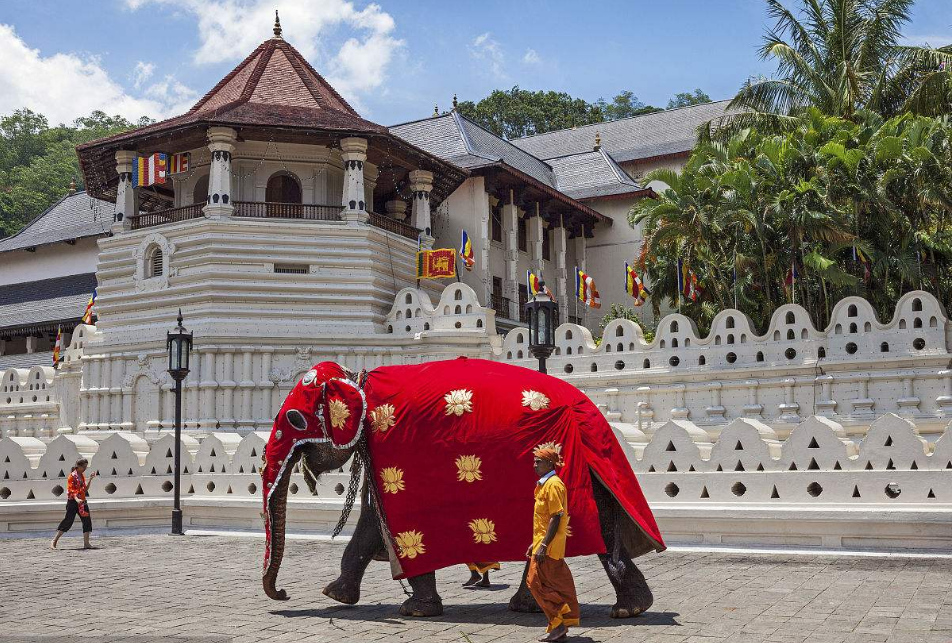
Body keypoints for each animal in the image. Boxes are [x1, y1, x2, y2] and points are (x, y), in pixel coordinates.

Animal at [256, 360, 664, 616]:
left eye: (294, 419)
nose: (283, 593)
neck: (359, 377)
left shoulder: (394, 446)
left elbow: (396, 524)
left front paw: (414, 610)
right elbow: (373, 520)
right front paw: (336, 595)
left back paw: (626, 609)